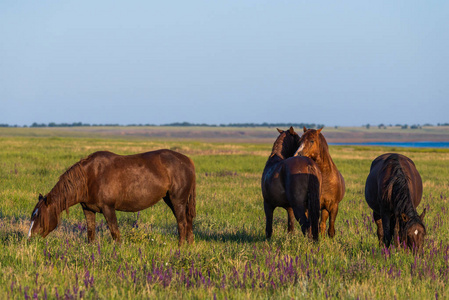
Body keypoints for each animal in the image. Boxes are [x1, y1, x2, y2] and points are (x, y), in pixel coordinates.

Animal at [27, 150, 196, 246]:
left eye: (40, 217)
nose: (29, 239)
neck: (89, 177)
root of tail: (188, 161)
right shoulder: (88, 209)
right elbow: (90, 232)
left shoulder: (108, 208)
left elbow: (115, 232)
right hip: (170, 200)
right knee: (187, 222)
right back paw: (189, 245)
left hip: (177, 200)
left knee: (182, 223)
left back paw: (181, 247)